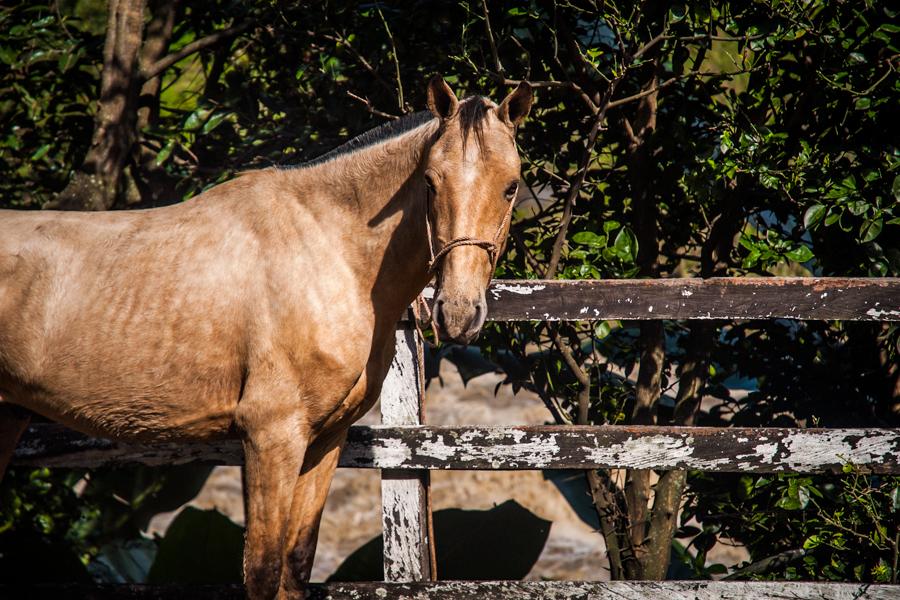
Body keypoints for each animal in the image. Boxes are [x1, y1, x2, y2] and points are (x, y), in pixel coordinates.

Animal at [0, 77, 532, 596]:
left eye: (511, 187)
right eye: (429, 181)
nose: (457, 312)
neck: (327, 247)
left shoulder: (325, 440)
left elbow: (295, 567)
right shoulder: (270, 437)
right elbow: (262, 569)